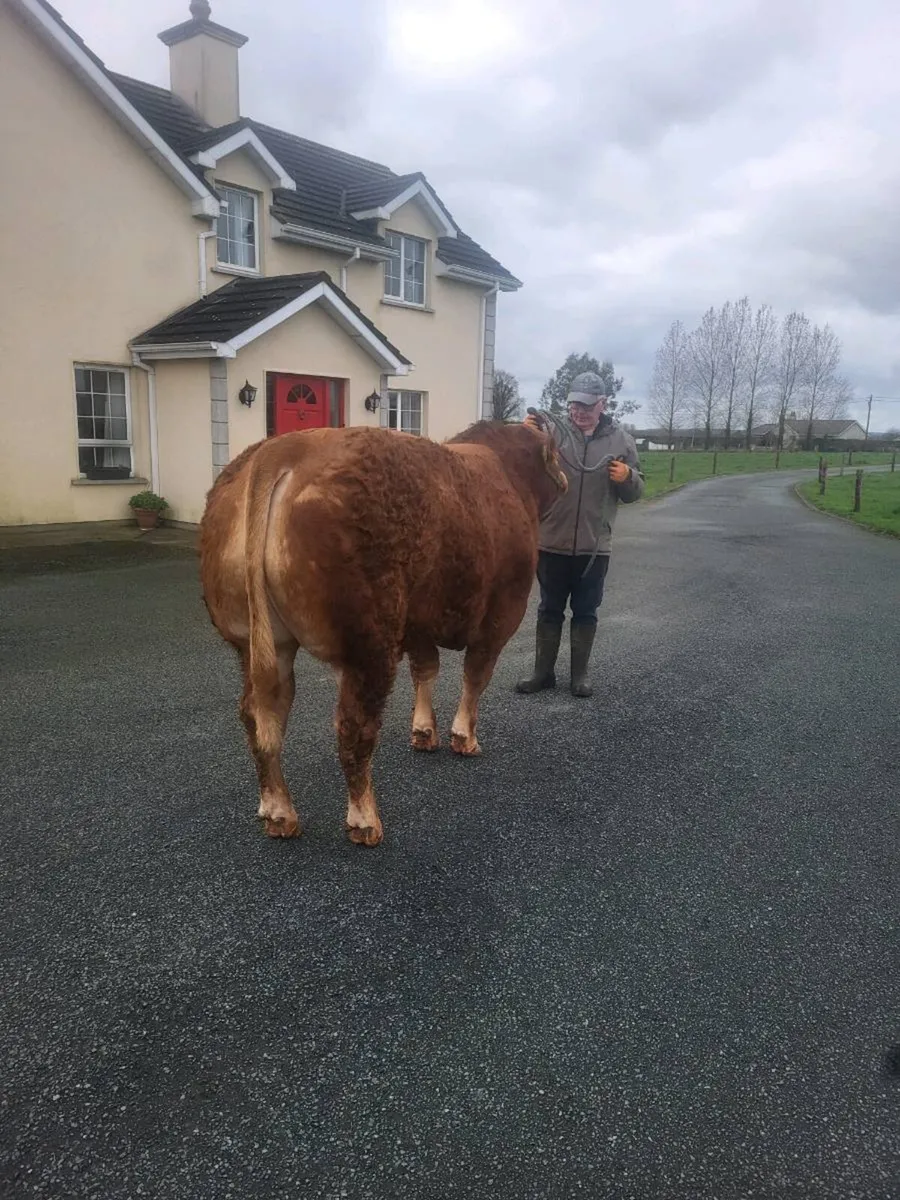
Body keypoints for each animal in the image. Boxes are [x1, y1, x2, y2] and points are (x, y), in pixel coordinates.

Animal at [198, 420, 568, 847]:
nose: (566, 479)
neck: (510, 475)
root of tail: (285, 447)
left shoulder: (419, 621)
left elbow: (426, 669)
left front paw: (424, 732)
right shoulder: (502, 613)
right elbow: (475, 676)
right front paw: (463, 738)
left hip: (258, 641)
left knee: (260, 715)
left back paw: (278, 813)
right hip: (368, 640)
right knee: (353, 728)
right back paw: (364, 821)